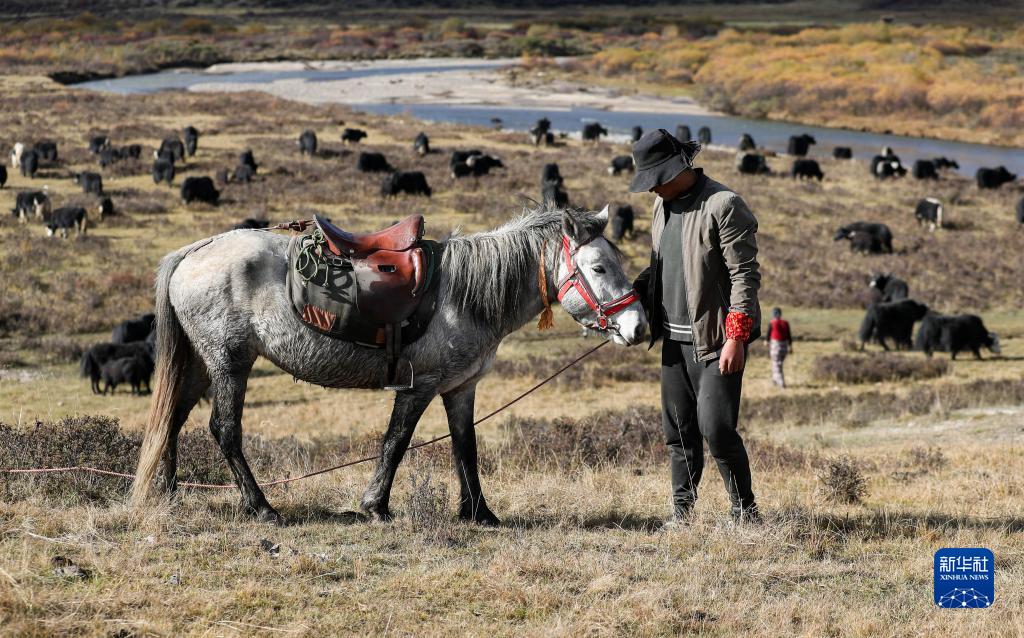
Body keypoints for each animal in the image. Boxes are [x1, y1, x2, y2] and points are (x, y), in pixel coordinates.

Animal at [132, 206, 643, 528]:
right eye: (599, 268)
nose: (637, 327)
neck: (465, 295)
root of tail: (196, 250)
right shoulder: (419, 387)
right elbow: (395, 444)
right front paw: (375, 506)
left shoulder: (460, 388)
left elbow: (466, 449)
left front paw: (480, 513)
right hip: (230, 364)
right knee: (224, 430)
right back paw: (261, 508)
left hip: (202, 365)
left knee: (172, 420)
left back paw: (169, 494)